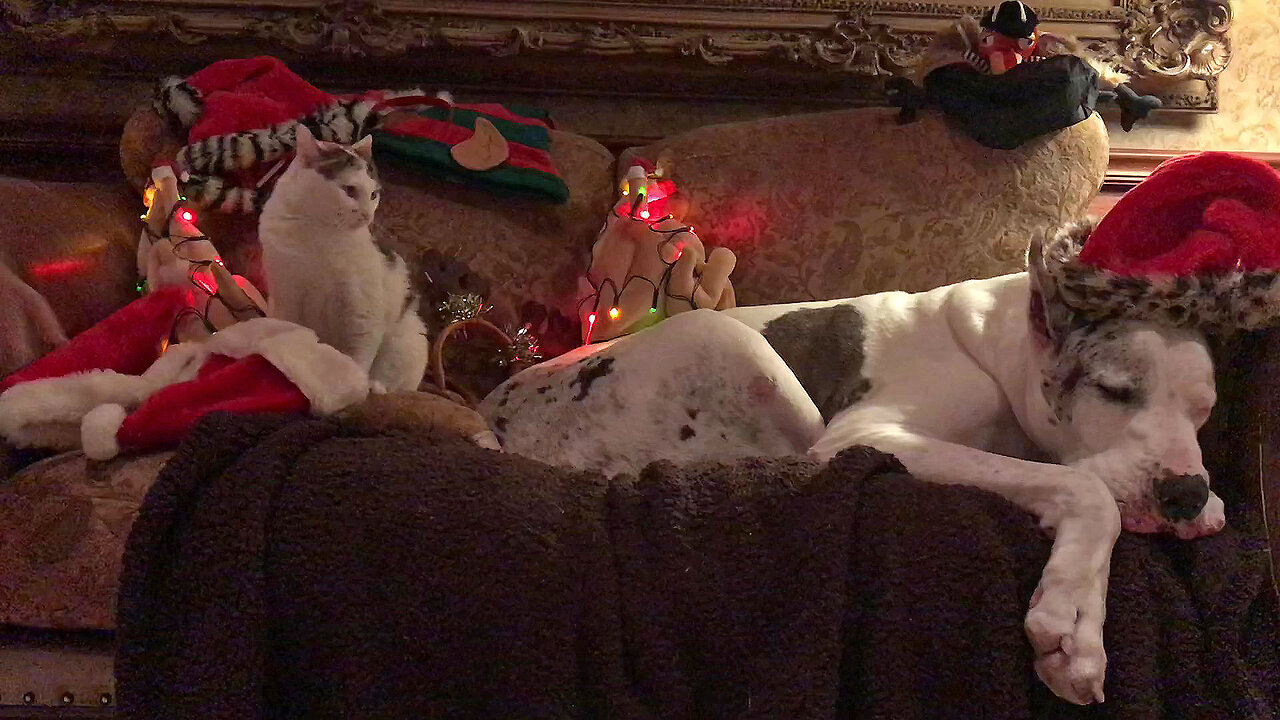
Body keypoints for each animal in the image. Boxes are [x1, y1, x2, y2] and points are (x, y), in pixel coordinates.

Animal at [259, 124, 430, 392]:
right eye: (349, 190)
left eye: (374, 194)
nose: (367, 216)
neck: (317, 235)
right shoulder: (286, 296)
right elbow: (288, 327)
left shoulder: (362, 309)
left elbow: (358, 358)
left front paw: (353, 385)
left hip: (406, 340)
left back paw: (375, 386)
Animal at [478, 221, 1239, 702]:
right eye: (1115, 390)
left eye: (1205, 411)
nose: (1183, 493)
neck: (995, 354)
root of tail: (495, 420)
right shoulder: (870, 434)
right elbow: (1086, 488)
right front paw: (1076, 624)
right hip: (727, 342)